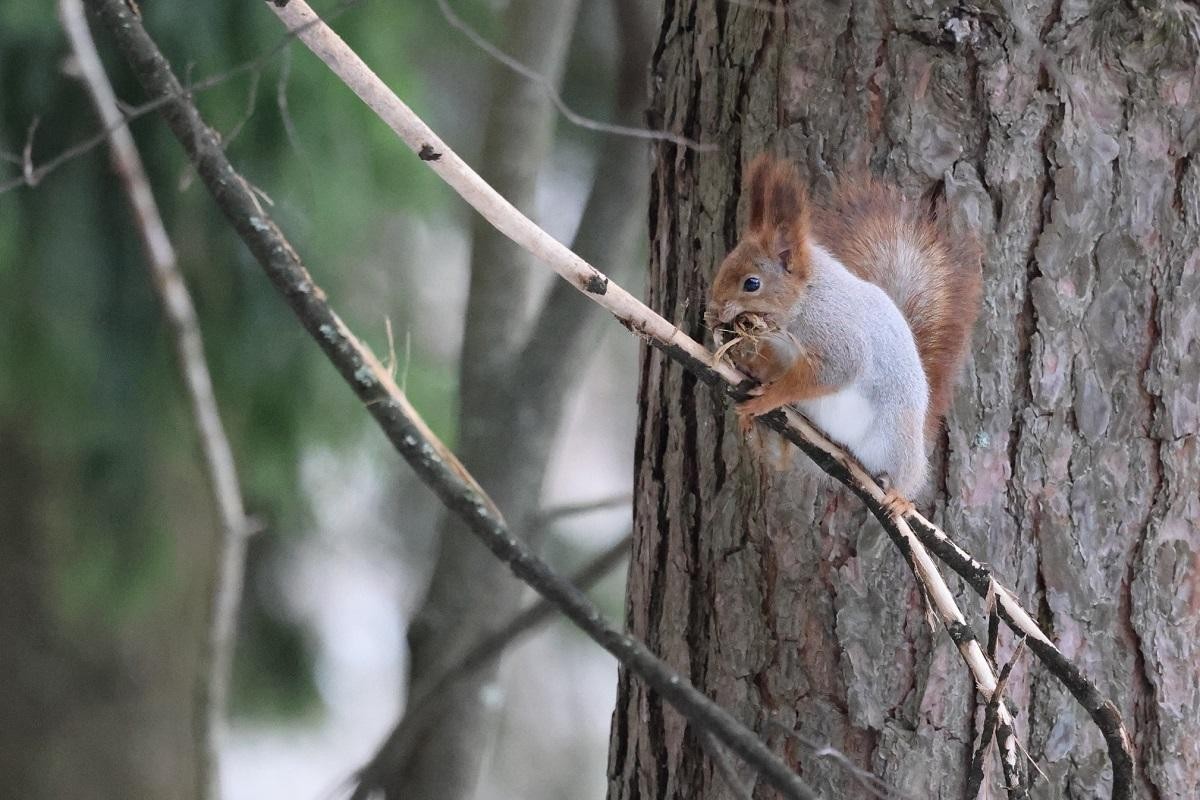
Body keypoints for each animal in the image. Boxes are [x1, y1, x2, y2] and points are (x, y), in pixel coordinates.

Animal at [705, 154, 983, 512]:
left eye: (751, 283)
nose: (713, 308)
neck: (807, 297)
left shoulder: (837, 335)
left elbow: (833, 373)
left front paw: (769, 396)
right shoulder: (783, 348)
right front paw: (747, 363)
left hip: (896, 439)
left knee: (909, 473)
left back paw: (900, 498)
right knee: (782, 456)